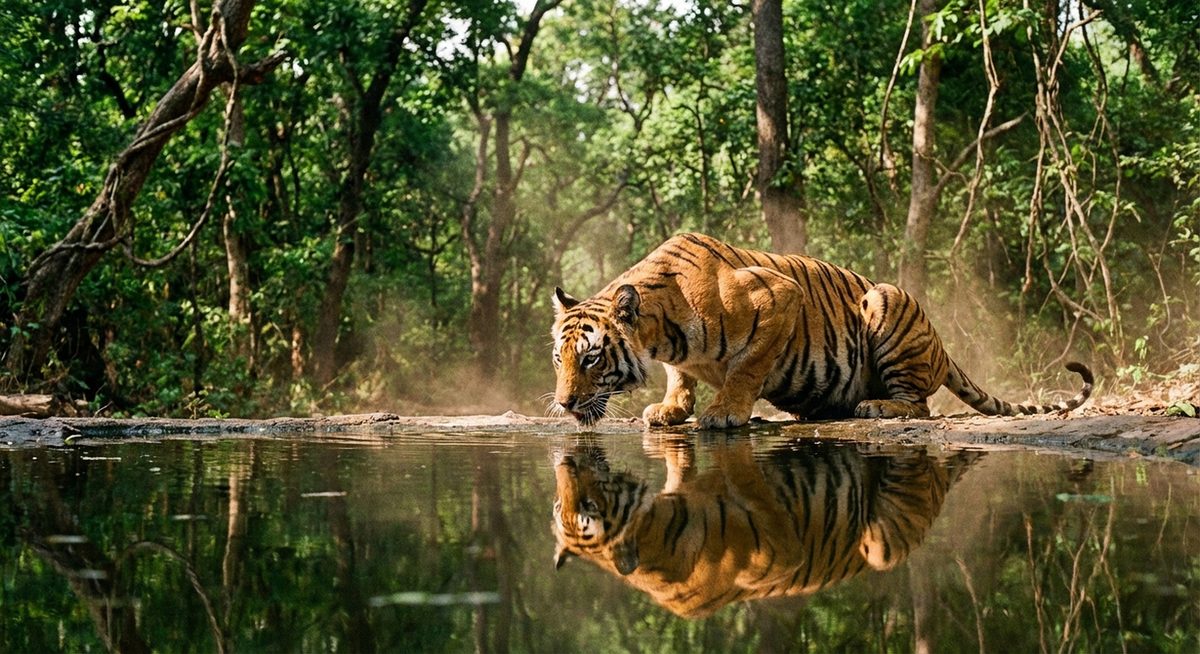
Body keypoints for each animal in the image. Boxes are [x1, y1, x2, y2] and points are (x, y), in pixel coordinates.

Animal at [550, 232, 1093, 428]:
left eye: (592, 357)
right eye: (560, 358)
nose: (564, 403)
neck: (660, 333)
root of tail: (941, 346)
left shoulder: (779, 297)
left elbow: (746, 368)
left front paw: (723, 413)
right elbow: (679, 376)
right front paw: (670, 409)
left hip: (885, 299)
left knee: (919, 403)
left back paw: (876, 406)